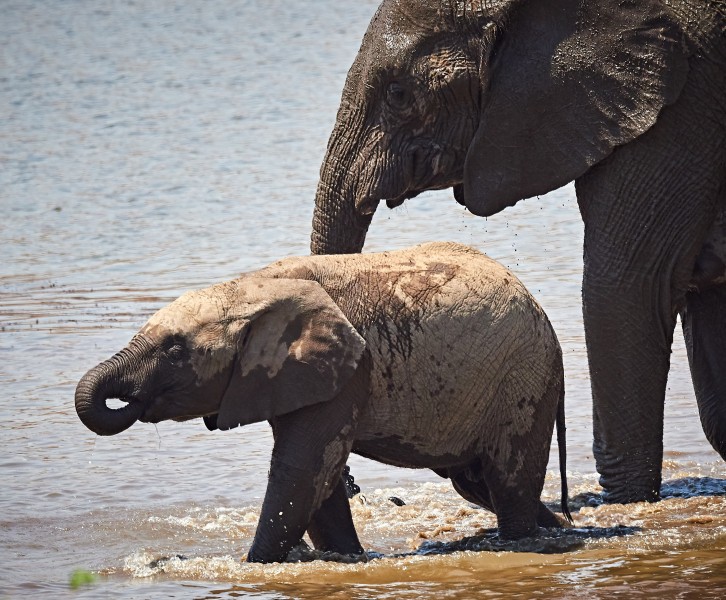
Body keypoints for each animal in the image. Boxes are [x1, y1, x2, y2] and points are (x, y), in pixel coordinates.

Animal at [75, 240, 576, 564]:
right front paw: (345, 556)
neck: (251, 286)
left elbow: (302, 468)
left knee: (507, 478)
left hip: (523, 375)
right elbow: (320, 477)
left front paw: (253, 565)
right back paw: (560, 530)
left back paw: (523, 541)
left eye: (176, 350)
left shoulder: (350, 369)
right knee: (475, 482)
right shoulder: (292, 378)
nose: (131, 401)